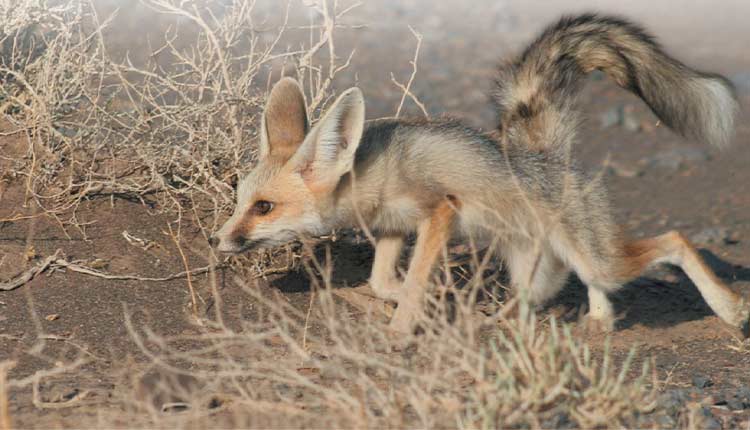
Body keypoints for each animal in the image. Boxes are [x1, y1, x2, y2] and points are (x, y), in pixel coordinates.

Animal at [212, 13, 750, 338]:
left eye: (264, 207)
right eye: (238, 199)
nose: (219, 240)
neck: (372, 169)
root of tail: (546, 154)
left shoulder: (439, 211)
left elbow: (411, 282)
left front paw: (402, 330)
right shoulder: (393, 228)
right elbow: (385, 281)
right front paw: (416, 305)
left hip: (597, 258)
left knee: (673, 240)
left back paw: (728, 308)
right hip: (539, 263)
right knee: (553, 292)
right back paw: (582, 321)